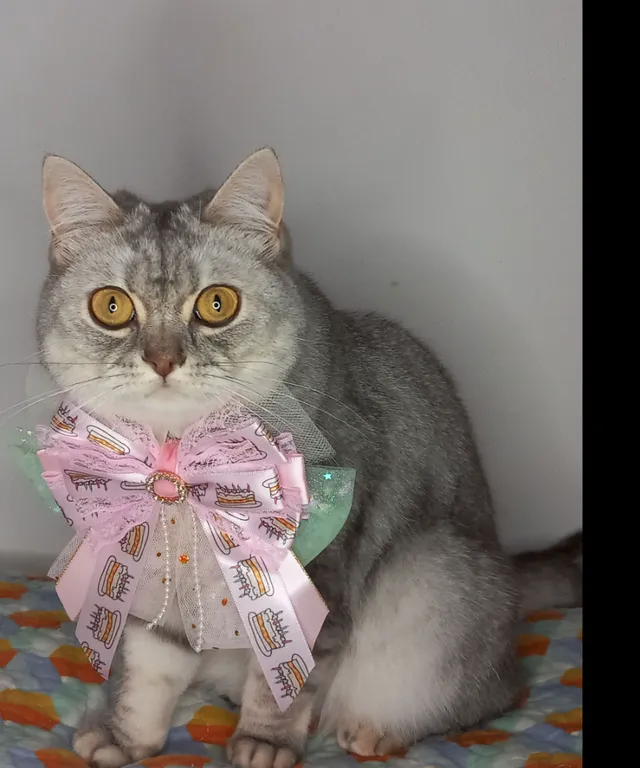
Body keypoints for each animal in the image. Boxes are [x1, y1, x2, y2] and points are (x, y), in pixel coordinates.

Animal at [37, 150, 584, 768]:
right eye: (111, 306)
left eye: (217, 304)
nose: (162, 359)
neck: (177, 462)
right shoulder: (154, 577)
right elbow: (150, 670)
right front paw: (127, 740)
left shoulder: (317, 575)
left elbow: (286, 679)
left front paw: (264, 742)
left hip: (432, 574)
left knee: (489, 697)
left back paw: (376, 731)